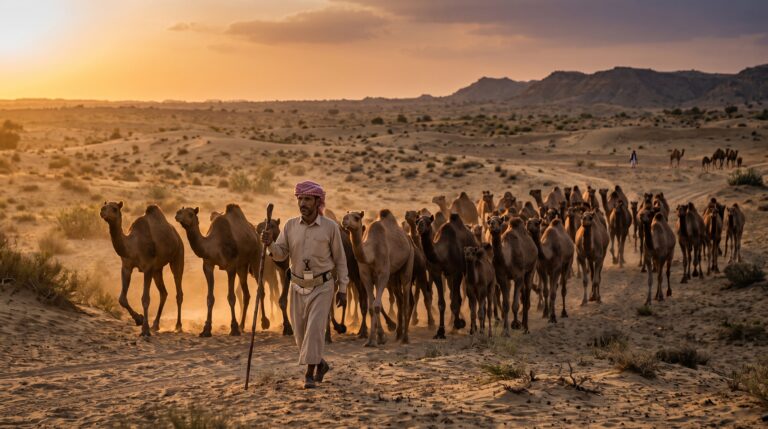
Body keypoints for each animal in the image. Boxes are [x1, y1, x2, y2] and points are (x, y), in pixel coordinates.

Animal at [101, 202, 184, 337]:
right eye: (105, 205)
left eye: (114, 208)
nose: (102, 211)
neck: (133, 246)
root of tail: (177, 236)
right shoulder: (126, 267)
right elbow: (122, 299)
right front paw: (139, 319)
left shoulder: (148, 268)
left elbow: (145, 299)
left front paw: (145, 329)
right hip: (157, 269)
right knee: (163, 292)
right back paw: (155, 325)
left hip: (178, 255)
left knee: (178, 290)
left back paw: (178, 326)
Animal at [175, 204, 262, 337]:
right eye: (181, 210)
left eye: (190, 214)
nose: (177, 214)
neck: (215, 245)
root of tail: (255, 233)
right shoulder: (208, 265)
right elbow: (210, 298)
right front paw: (206, 329)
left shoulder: (230, 267)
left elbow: (231, 297)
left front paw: (234, 328)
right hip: (242, 266)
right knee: (246, 294)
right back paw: (242, 326)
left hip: (256, 258)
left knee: (260, 288)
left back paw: (264, 323)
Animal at [342, 210, 414, 346]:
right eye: (346, 215)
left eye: (356, 217)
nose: (344, 220)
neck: (371, 254)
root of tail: (408, 238)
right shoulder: (366, 277)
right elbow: (371, 307)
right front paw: (372, 340)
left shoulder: (383, 274)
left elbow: (376, 306)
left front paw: (379, 337)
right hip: (393, 276)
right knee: (400, 300)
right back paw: (398, 334)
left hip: (408, 262)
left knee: (406, 297)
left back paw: (405, 338)